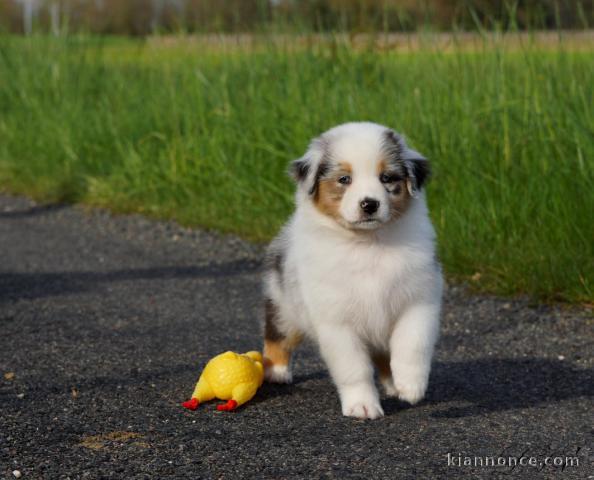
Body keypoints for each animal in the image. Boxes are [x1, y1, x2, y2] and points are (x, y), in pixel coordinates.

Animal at [262, 122, 440, 418]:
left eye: (386, 177)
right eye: (344, 179)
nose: (369, 204)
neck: (368, 244)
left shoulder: (418, 299)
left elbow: (412, 344)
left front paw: (411, 386)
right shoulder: (336, 320)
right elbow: (354, 368)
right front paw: (362, 406)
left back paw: (393, 383)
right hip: (284, 304)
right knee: (278, 335)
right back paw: (277, 370)